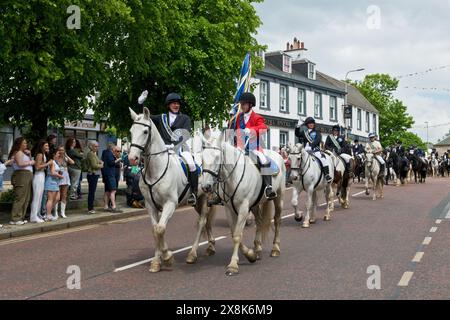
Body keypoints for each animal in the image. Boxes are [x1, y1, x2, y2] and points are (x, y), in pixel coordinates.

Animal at [128, 107, 214, 272]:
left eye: (145, 132)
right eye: (131, 131)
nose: (132, 158)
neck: (154, 170)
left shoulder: (170, 203)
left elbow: (160, 228)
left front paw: (167, 257)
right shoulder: (150, 205)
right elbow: (155, 230)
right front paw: (157, 261)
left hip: (205, 197)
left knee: (202, 222)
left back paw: (192, 254)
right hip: (197, 201)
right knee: (206, 221)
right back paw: (210, 246)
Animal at [200, 134, 284, 276]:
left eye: (217, 157)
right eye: (201, 158)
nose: (206, 186)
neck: (233, 176)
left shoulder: (244, 209)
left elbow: (237, 235)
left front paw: (233, 265)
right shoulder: (229, 209)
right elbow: (234, 233)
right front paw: (250, 255)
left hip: (279, 198)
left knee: (277, 220)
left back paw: (276, 248)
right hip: (255, 205)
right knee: (259, 221)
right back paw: (257, 249)